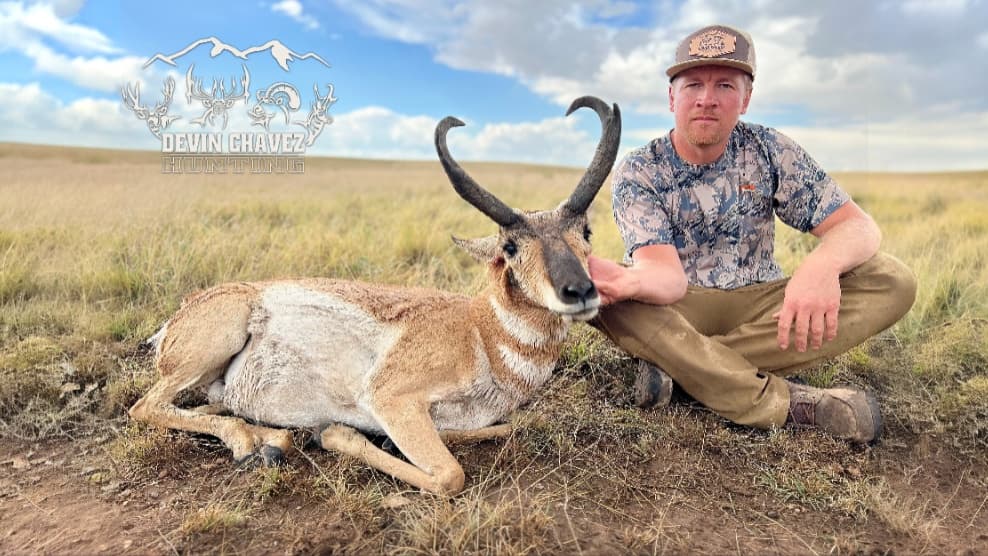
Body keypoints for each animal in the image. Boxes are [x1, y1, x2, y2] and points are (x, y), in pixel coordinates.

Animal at [128, 96, 621, 495]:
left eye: (586, 231)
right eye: (511, 247)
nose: (580, 291)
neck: (480, 332)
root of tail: (182, 313)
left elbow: (510, 425)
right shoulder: (392, 399)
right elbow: (450, 475)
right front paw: (335, 434)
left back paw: (273, 439)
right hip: (216, 338)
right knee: (146, 406)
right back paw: (256, 443)